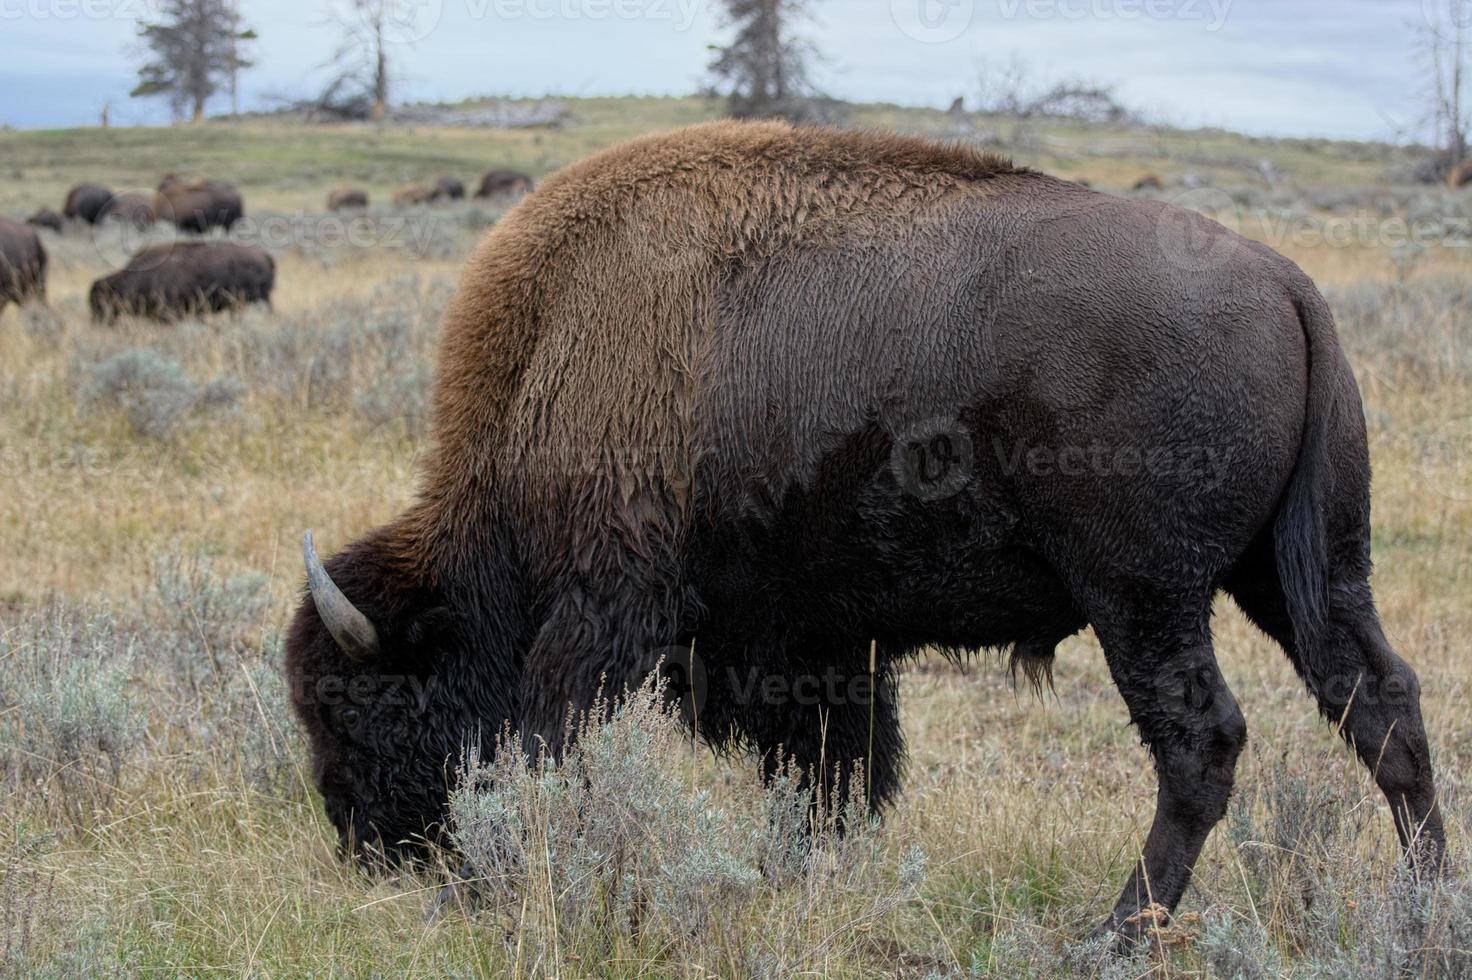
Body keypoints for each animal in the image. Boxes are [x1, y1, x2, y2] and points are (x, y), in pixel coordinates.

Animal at [289, 119, 1448, 941]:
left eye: (363, 703)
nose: (365, 846)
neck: (552, 354)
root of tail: (1285, 283)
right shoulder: (811, 639)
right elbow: (834, 767)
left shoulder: (609, 605)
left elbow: (550, 738)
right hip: (1300, 569)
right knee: (1378, 701)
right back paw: (1425, 906)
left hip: (1144, 595)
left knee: (1202, 743)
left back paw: (1114, 932)